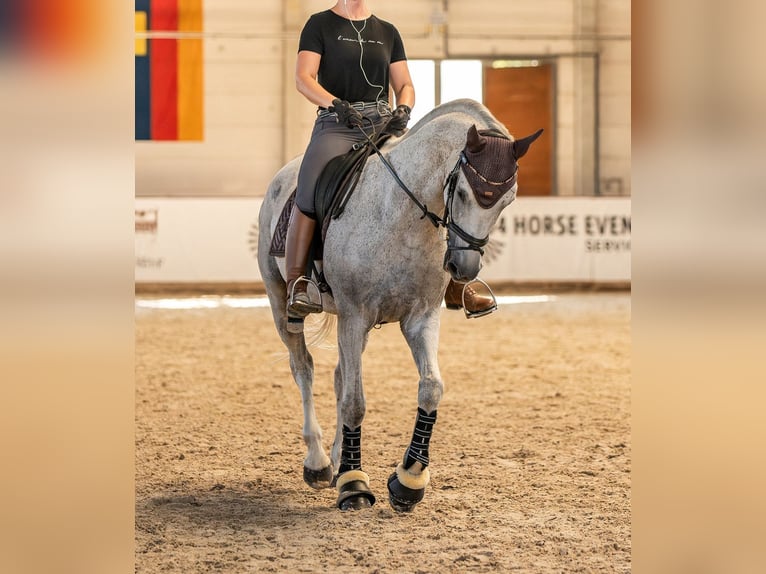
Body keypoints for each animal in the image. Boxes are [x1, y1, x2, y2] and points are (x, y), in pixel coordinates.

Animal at [257, 98, 542, 511]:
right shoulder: (356, 316)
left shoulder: (419, 318)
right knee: (304, 369)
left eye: (508, 201)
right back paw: (319, 463)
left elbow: (430, 388)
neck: (403, 216)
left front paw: (408, 480)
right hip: (283, 304)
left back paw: (339, 459)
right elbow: (355, 402)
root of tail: (282, 176)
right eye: (462, 194)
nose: (464, 267)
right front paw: (354, 485)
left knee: (340, 376)